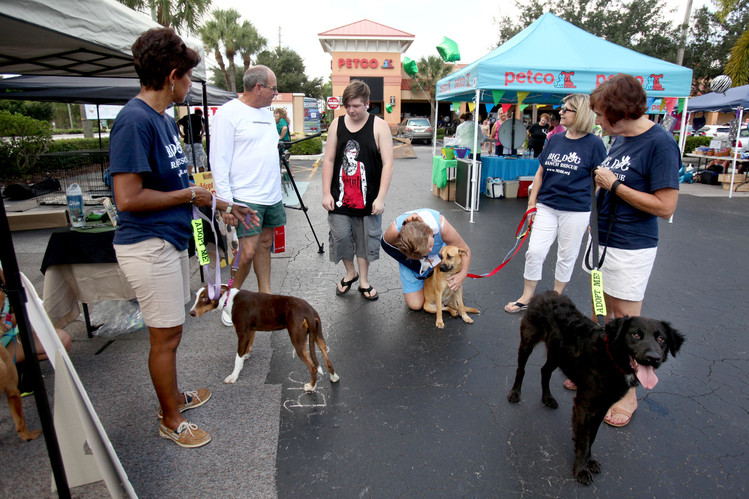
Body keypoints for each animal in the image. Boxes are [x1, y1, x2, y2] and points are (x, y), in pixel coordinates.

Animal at [506, 292, 688, 486]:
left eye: (661, 339)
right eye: (635, 334)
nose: (653, 358)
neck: (611, 359)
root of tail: (546, 293)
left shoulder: (603, 406)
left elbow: (591, 436)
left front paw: (589, 460)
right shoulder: (583, 405)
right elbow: (584, 439)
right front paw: (581, 469)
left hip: (557, 353)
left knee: (544, 371)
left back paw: (547, 398)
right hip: (528, 341)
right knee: (521, 369)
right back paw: (515, 392)